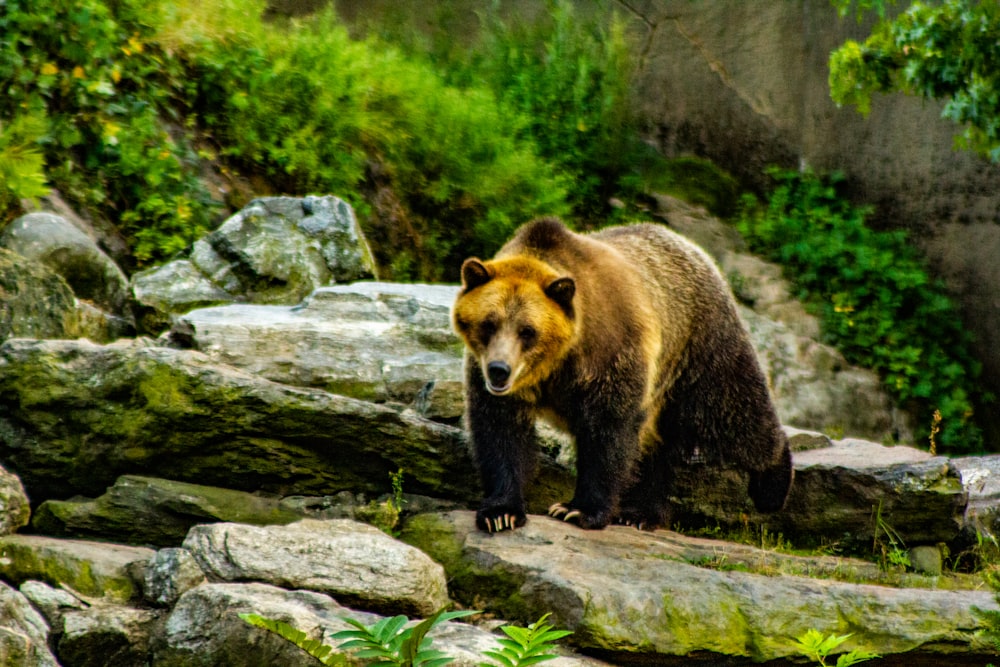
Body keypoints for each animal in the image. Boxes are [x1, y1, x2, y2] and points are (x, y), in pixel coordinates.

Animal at [452, 219, 788, 532]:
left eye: (528, 331)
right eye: (488, 323)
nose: (499, 370)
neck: (556, 363)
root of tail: (694, 248)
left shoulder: (610, 353)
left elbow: (608, 431)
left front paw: (578, 510)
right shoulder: (491, 378)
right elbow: (500, 431)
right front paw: (501, 513)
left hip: (698, 349)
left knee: (733, 411)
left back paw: (773, 484)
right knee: (659, 445)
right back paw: (641, 513)